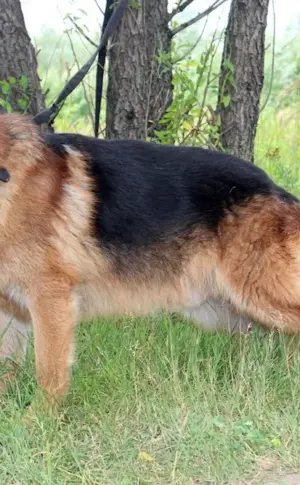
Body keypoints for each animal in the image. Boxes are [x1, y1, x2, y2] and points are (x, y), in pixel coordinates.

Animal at [0, 112, 300, 398]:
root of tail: (278, 191)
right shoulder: (10, 311)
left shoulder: (50, 297)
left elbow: (49, 374)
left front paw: (41, 415)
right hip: (225, 312)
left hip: (257, 295)